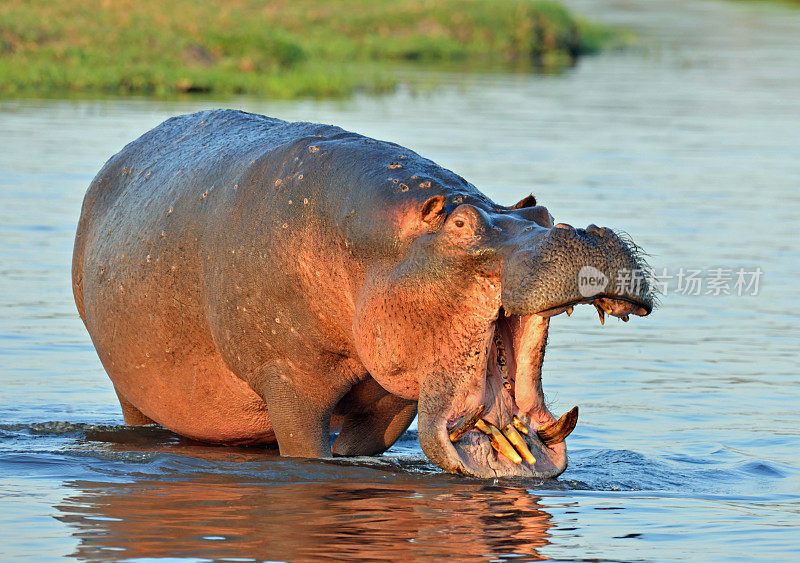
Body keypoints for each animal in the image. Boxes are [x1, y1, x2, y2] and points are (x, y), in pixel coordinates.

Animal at [72, 109, 652, 476]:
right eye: (461, 225)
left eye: (544, 215)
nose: (583, 234)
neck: (385, 246)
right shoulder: (290, 380)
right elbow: (309, 452)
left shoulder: (392, 397)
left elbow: (363, 445)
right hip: (132, 392)